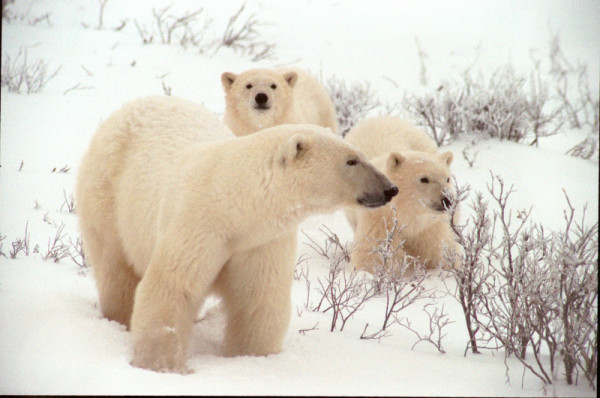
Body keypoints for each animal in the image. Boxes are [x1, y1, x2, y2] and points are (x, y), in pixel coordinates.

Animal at [76, 95, 398, 374]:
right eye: (351, 160)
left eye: (362, 155)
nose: (390, 188)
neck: (234, 205)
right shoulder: (197, 225)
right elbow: (173, 286)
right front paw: (163, 366)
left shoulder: (261, 241)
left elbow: (258, 301)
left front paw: (252, 359)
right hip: (107, 194)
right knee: (115, 268)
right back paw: (118, 318)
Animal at [342, 115, 460, 274]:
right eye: (424, 179)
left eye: (447, 178)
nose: (447, 200)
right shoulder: (381, 220)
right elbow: (372, 254)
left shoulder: (428, 226)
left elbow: (439, 248)